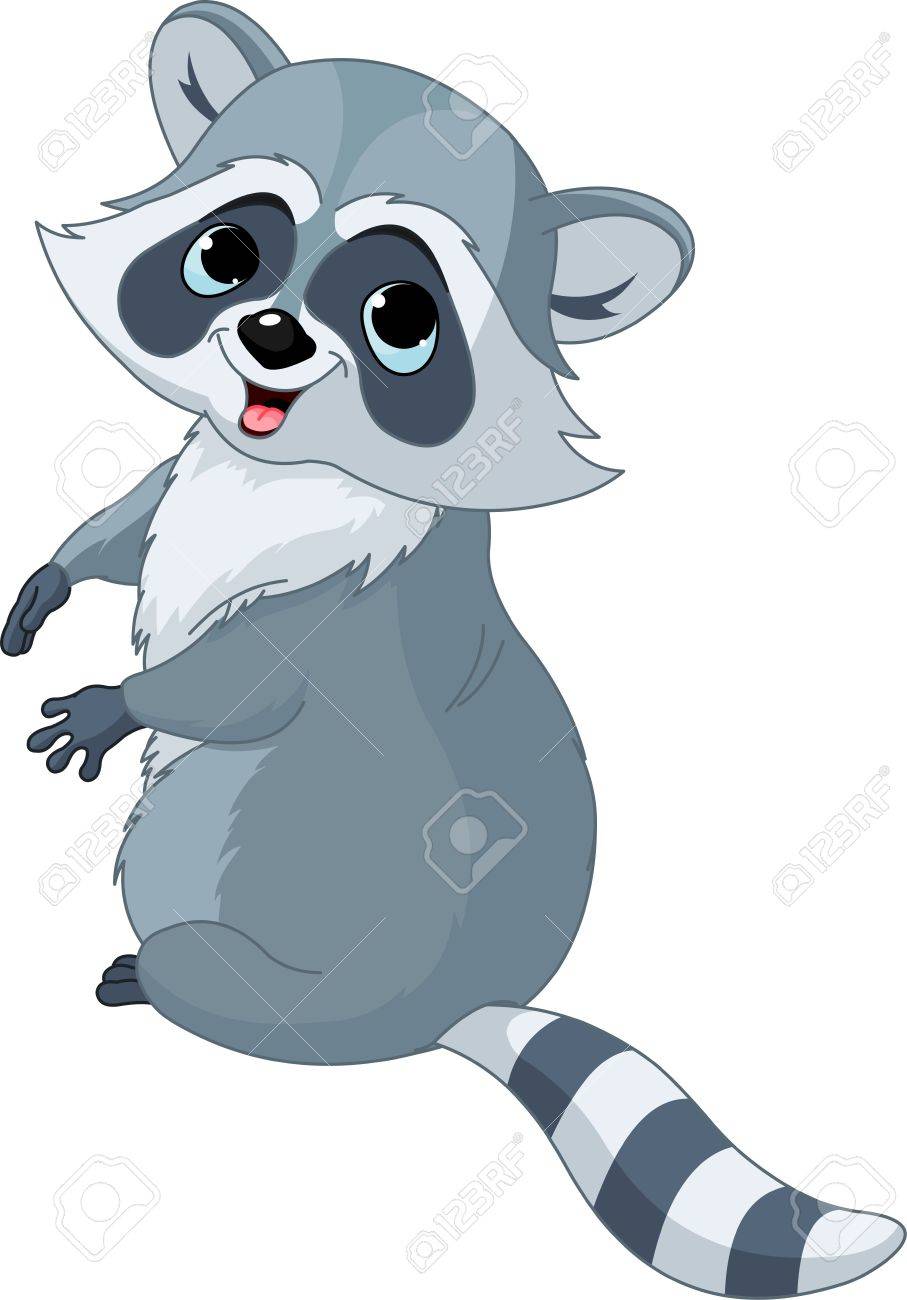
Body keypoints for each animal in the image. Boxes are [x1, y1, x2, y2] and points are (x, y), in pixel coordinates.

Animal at [4, 5, 902, 1295]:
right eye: (228, 253)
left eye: (400, 316)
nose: (269, 336)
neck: (286, 459)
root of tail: (454, 1003)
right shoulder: (196, 470)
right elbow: (136, 525)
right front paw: (62, 568)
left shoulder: (350, 599)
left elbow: (245, 686)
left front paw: (121, 700)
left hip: (296, 966)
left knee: (208, 953)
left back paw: (163, 984)